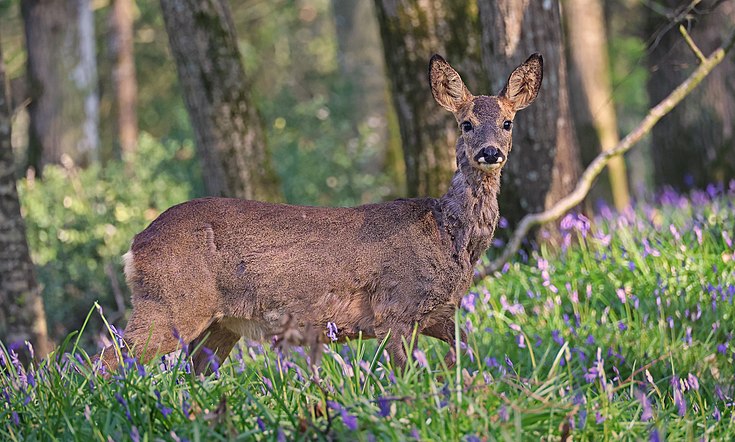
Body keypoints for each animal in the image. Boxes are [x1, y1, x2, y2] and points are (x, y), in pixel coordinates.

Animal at [100, 53, 544, 374]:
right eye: (466, 123)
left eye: (507, 122)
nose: (490, 152)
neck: (448, 235)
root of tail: (135, 245)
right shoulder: (395, 308)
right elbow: (408, 375)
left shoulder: (439, 312)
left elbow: (466, 356)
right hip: (171, 302)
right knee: (107, 360)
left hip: (220, 323)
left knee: (191, 372)